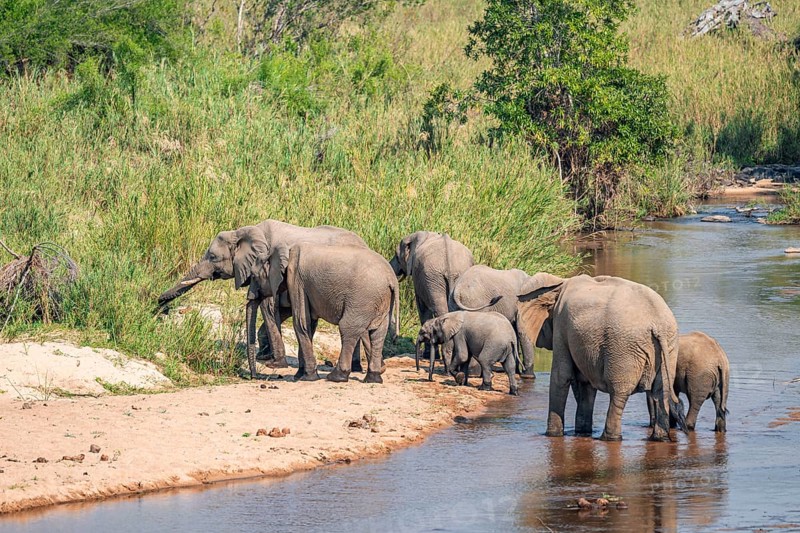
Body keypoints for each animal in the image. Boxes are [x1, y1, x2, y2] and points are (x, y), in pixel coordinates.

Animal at [157, 220, 367, 370]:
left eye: (213, 257)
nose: (158, 308)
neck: (244, 232)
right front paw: (264, 356)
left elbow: (269, 307)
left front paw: (274, 362)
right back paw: (356, 368)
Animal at [261, 242, 400, 383]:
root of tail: (392, 278)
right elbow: (310, 323)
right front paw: (300, 375)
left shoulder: (296, 279)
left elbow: (301, 322)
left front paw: (307, 377)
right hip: (381, 300)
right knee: (378, 333)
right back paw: (374, 378)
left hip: (363, 298)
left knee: (348, 328)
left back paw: (337, 376)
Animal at [516, 273, 686, 441]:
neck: (558, 283)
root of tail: (658, 324)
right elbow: (585, 384)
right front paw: (582, 432)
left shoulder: (561, 326)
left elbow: (561, 376)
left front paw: (552, 435)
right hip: (669, 346)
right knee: (661, 391)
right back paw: (659, 438)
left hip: (623, 348)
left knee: (619, 393)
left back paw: (609, 438)